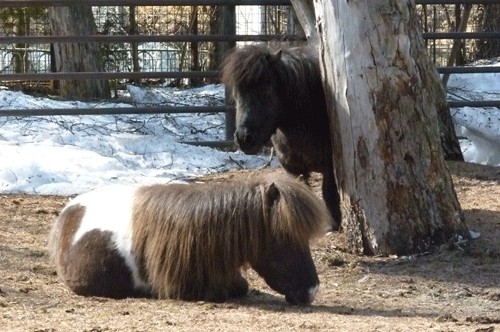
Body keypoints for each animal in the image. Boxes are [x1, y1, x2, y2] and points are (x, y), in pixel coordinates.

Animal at [221, 43, 342, 231]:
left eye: (267, 88)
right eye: (237, 93)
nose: (244, 138)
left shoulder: (330, 166)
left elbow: (328, 192)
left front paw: (334, 225)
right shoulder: (292, 168)